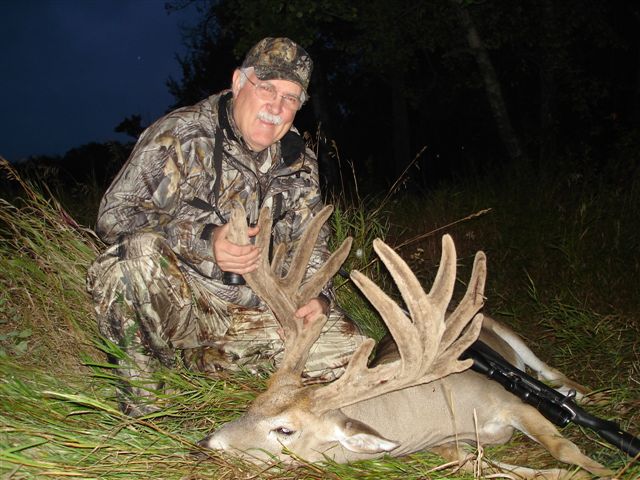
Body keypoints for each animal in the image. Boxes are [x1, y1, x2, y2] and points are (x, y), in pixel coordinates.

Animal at [197, 204, 613, 479]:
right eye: (254, 406)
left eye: (285, 430)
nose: (207, 445)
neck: (439, 412)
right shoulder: (447, 446)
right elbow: (483, 466)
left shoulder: (508, 400)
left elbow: (563, 446)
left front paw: (603, 471)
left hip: (505, 332)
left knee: (548, 370)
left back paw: (586, 396)